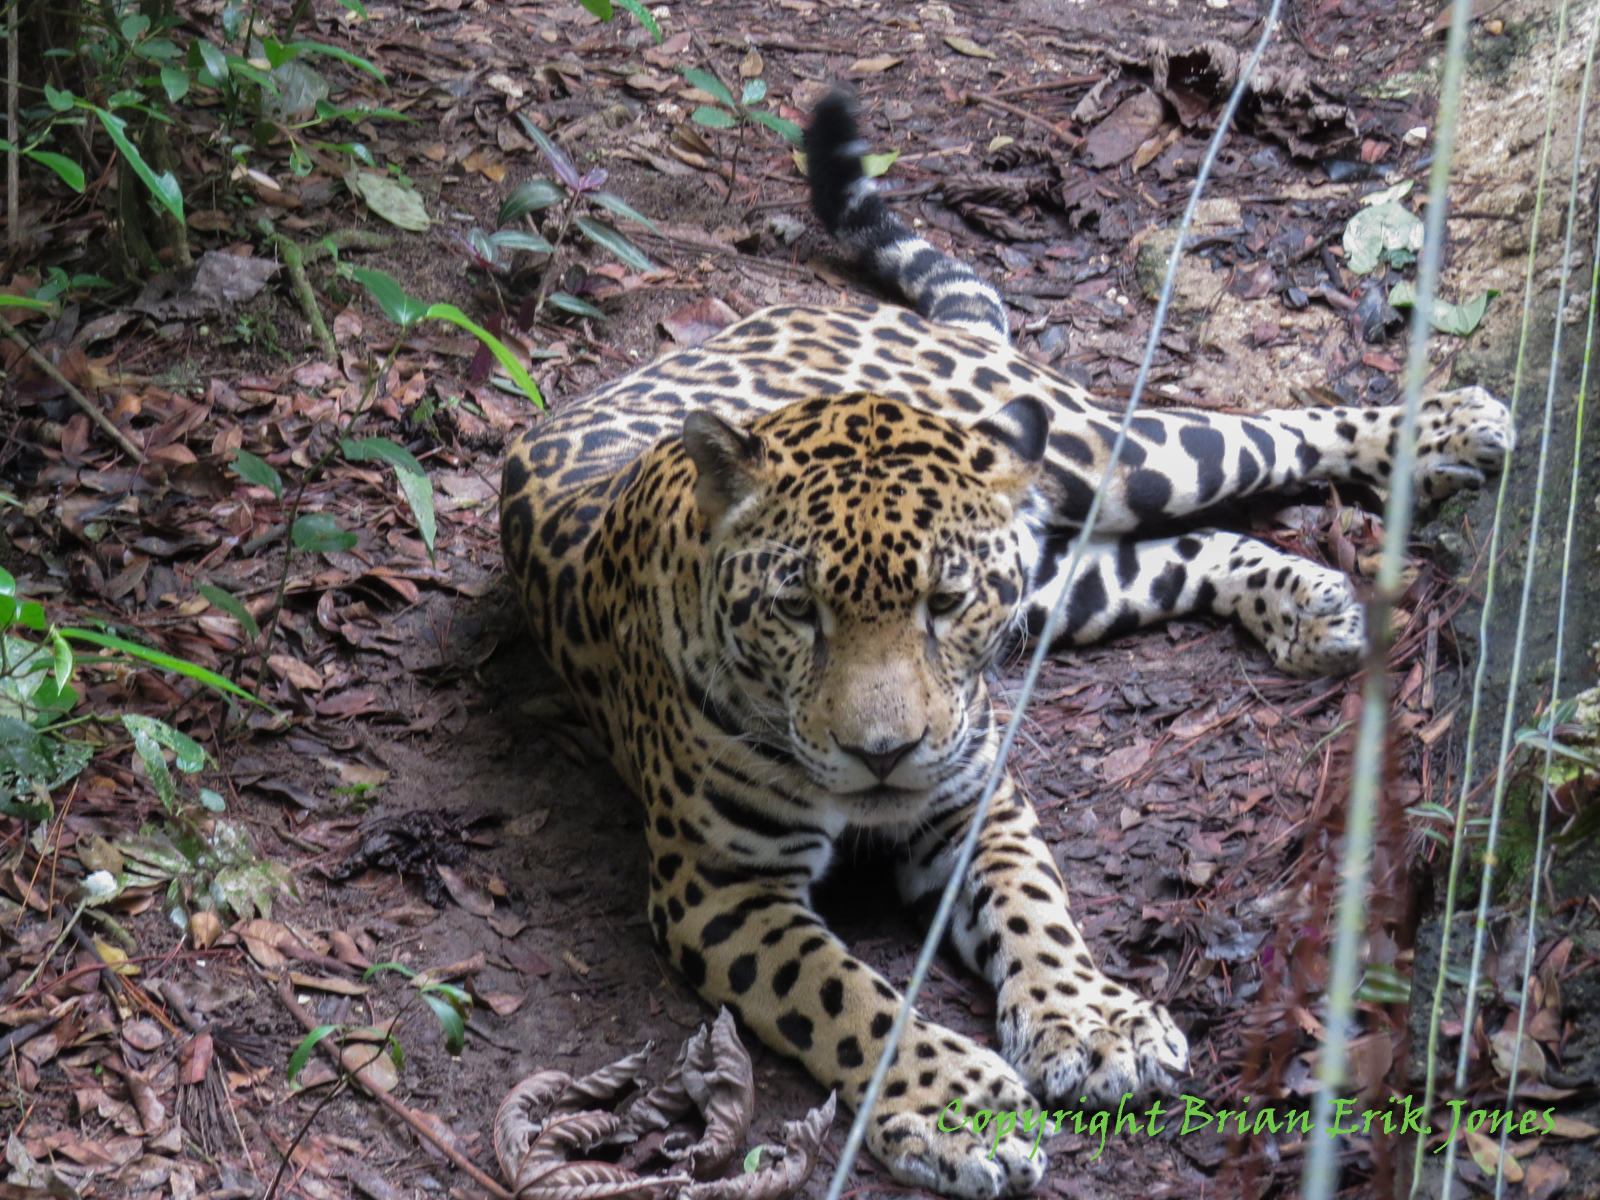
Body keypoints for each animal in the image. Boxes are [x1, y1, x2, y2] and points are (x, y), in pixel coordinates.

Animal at [499, 91, 1514, 1198]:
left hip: (1105, 453)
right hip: (1061, 579)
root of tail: (814, 317)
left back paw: (1449, 427)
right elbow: (845, 996)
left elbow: (1033, 908)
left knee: (1259, 432)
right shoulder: (717, 888)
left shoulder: (971, 795)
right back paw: (1307, 600)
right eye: (797, 610)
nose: (882, 754)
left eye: (944, 603)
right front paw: (960, 1108)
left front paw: (1091, 1020)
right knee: (1182, 548)